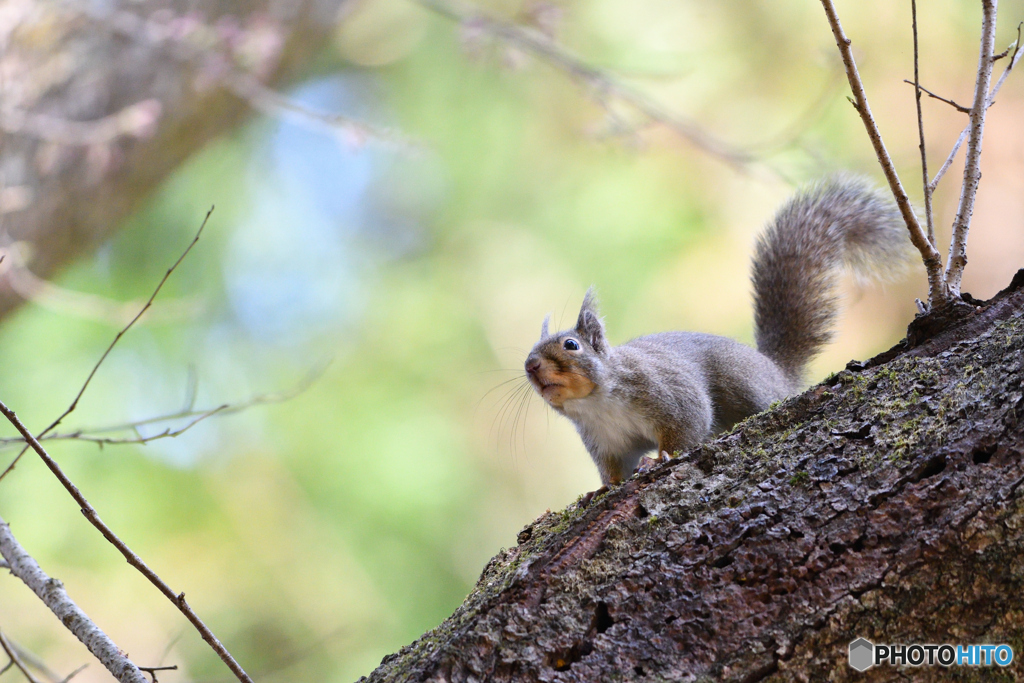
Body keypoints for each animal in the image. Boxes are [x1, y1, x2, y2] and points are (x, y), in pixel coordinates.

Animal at [524, 174, 909, 489]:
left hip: (743, 382)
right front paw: (604, 488)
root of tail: (774, 370)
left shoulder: (666, 392)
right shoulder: (604, 441)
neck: (598, 402)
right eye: (529, 352)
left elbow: (687, 426)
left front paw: (661, 458)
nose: (531, 366)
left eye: (571, 345)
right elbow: (613, 469)